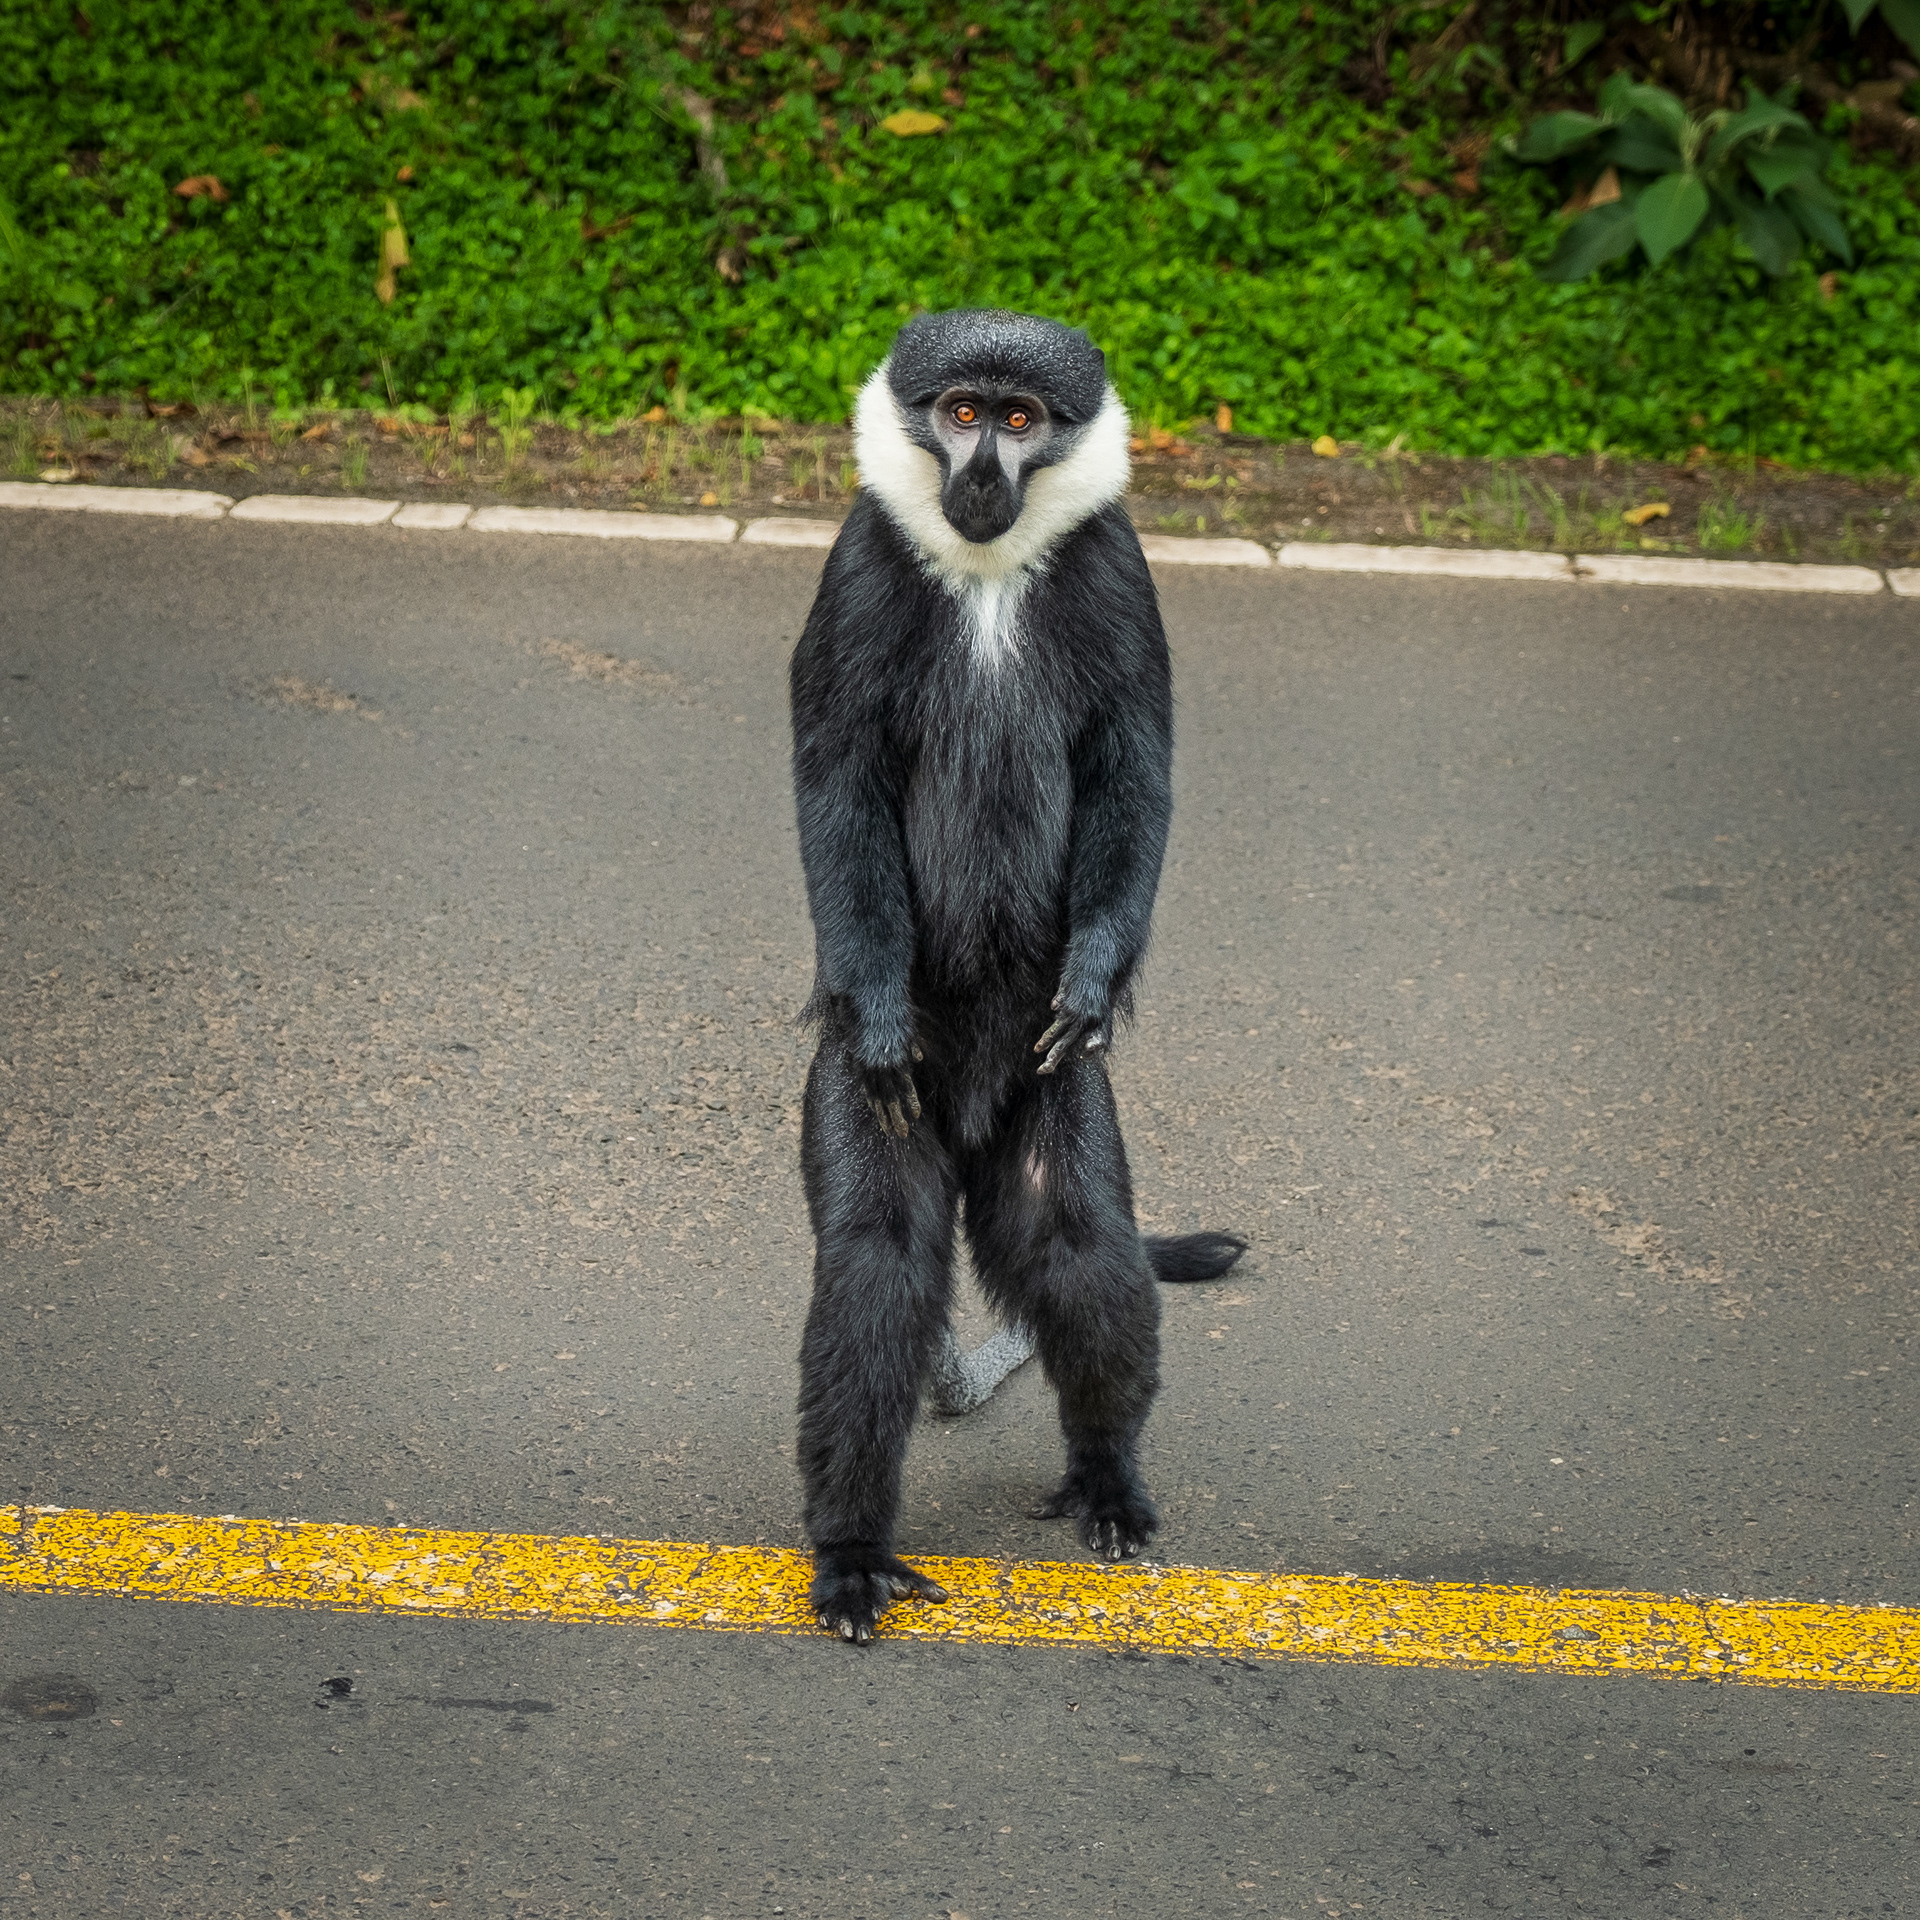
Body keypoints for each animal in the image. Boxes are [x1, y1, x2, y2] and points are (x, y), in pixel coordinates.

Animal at [788, 307, 1247, 1644]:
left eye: (1020, 418)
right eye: (960, 411)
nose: (982, 476)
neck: (987, 569)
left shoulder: (1119, 569)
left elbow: (1133, 764)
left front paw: (1095, 983)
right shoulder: (859, 571)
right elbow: (839, 773)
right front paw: (885, 1020)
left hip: (1051, 1097)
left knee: (1081, 1247)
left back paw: (1107, 1477)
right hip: (873, 1100)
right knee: (880, 1265)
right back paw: (851, 1550)